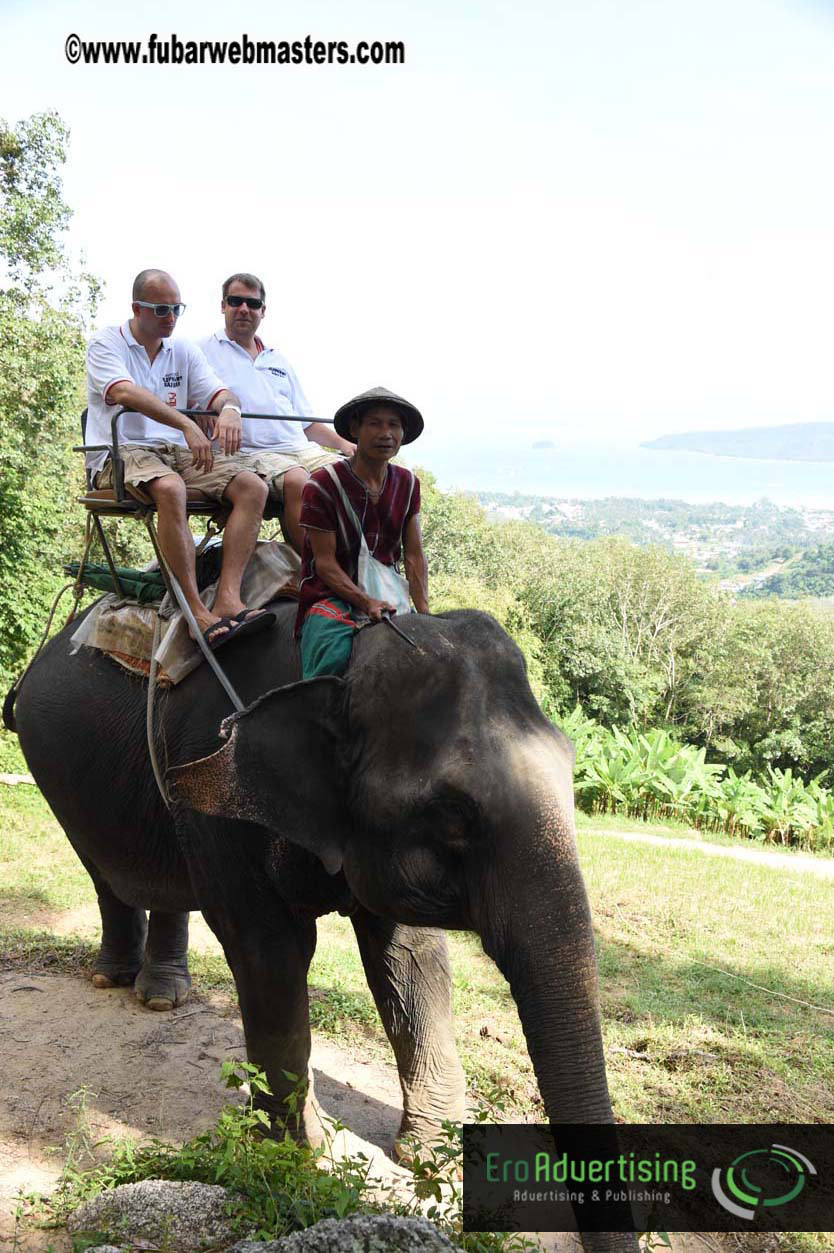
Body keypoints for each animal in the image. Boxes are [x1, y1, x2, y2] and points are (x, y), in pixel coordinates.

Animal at [10, 601, 638, 1253]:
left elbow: (409, 958)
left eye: (572, 769)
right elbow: (271, 952)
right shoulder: (215, 787)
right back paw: (115, 981)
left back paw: (160, 996)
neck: (341, 657)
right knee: (104, 870)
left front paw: (427, 1155)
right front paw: (300, 1156)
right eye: (453, 814)